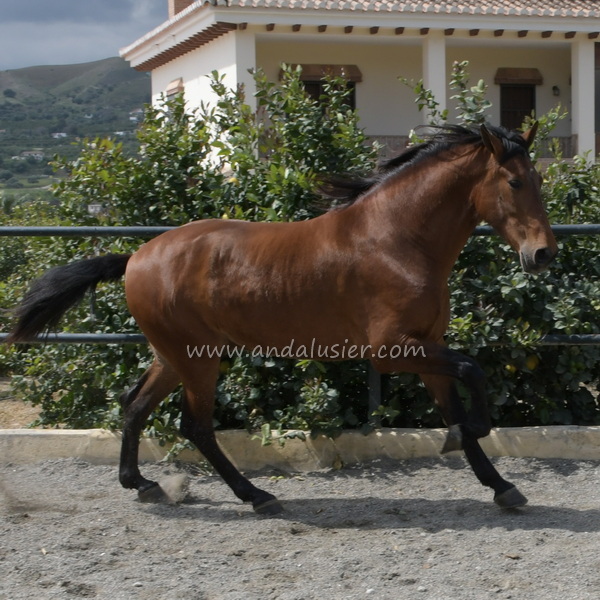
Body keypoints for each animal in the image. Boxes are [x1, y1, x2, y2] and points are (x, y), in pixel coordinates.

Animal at [7, 123, 557, 515]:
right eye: (513, 181)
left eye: (539, 179)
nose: (543, 255)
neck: (396, 239)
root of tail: (136, 257)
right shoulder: (391, 351)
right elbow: (473, 371)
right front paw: (470, 435)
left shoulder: (426, 344)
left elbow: (453, 405)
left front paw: (501, 486)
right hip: (197, 359)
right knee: (194, 425)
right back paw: (257, 497)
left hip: (174, 355)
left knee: (134, 405)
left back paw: (142, 485)